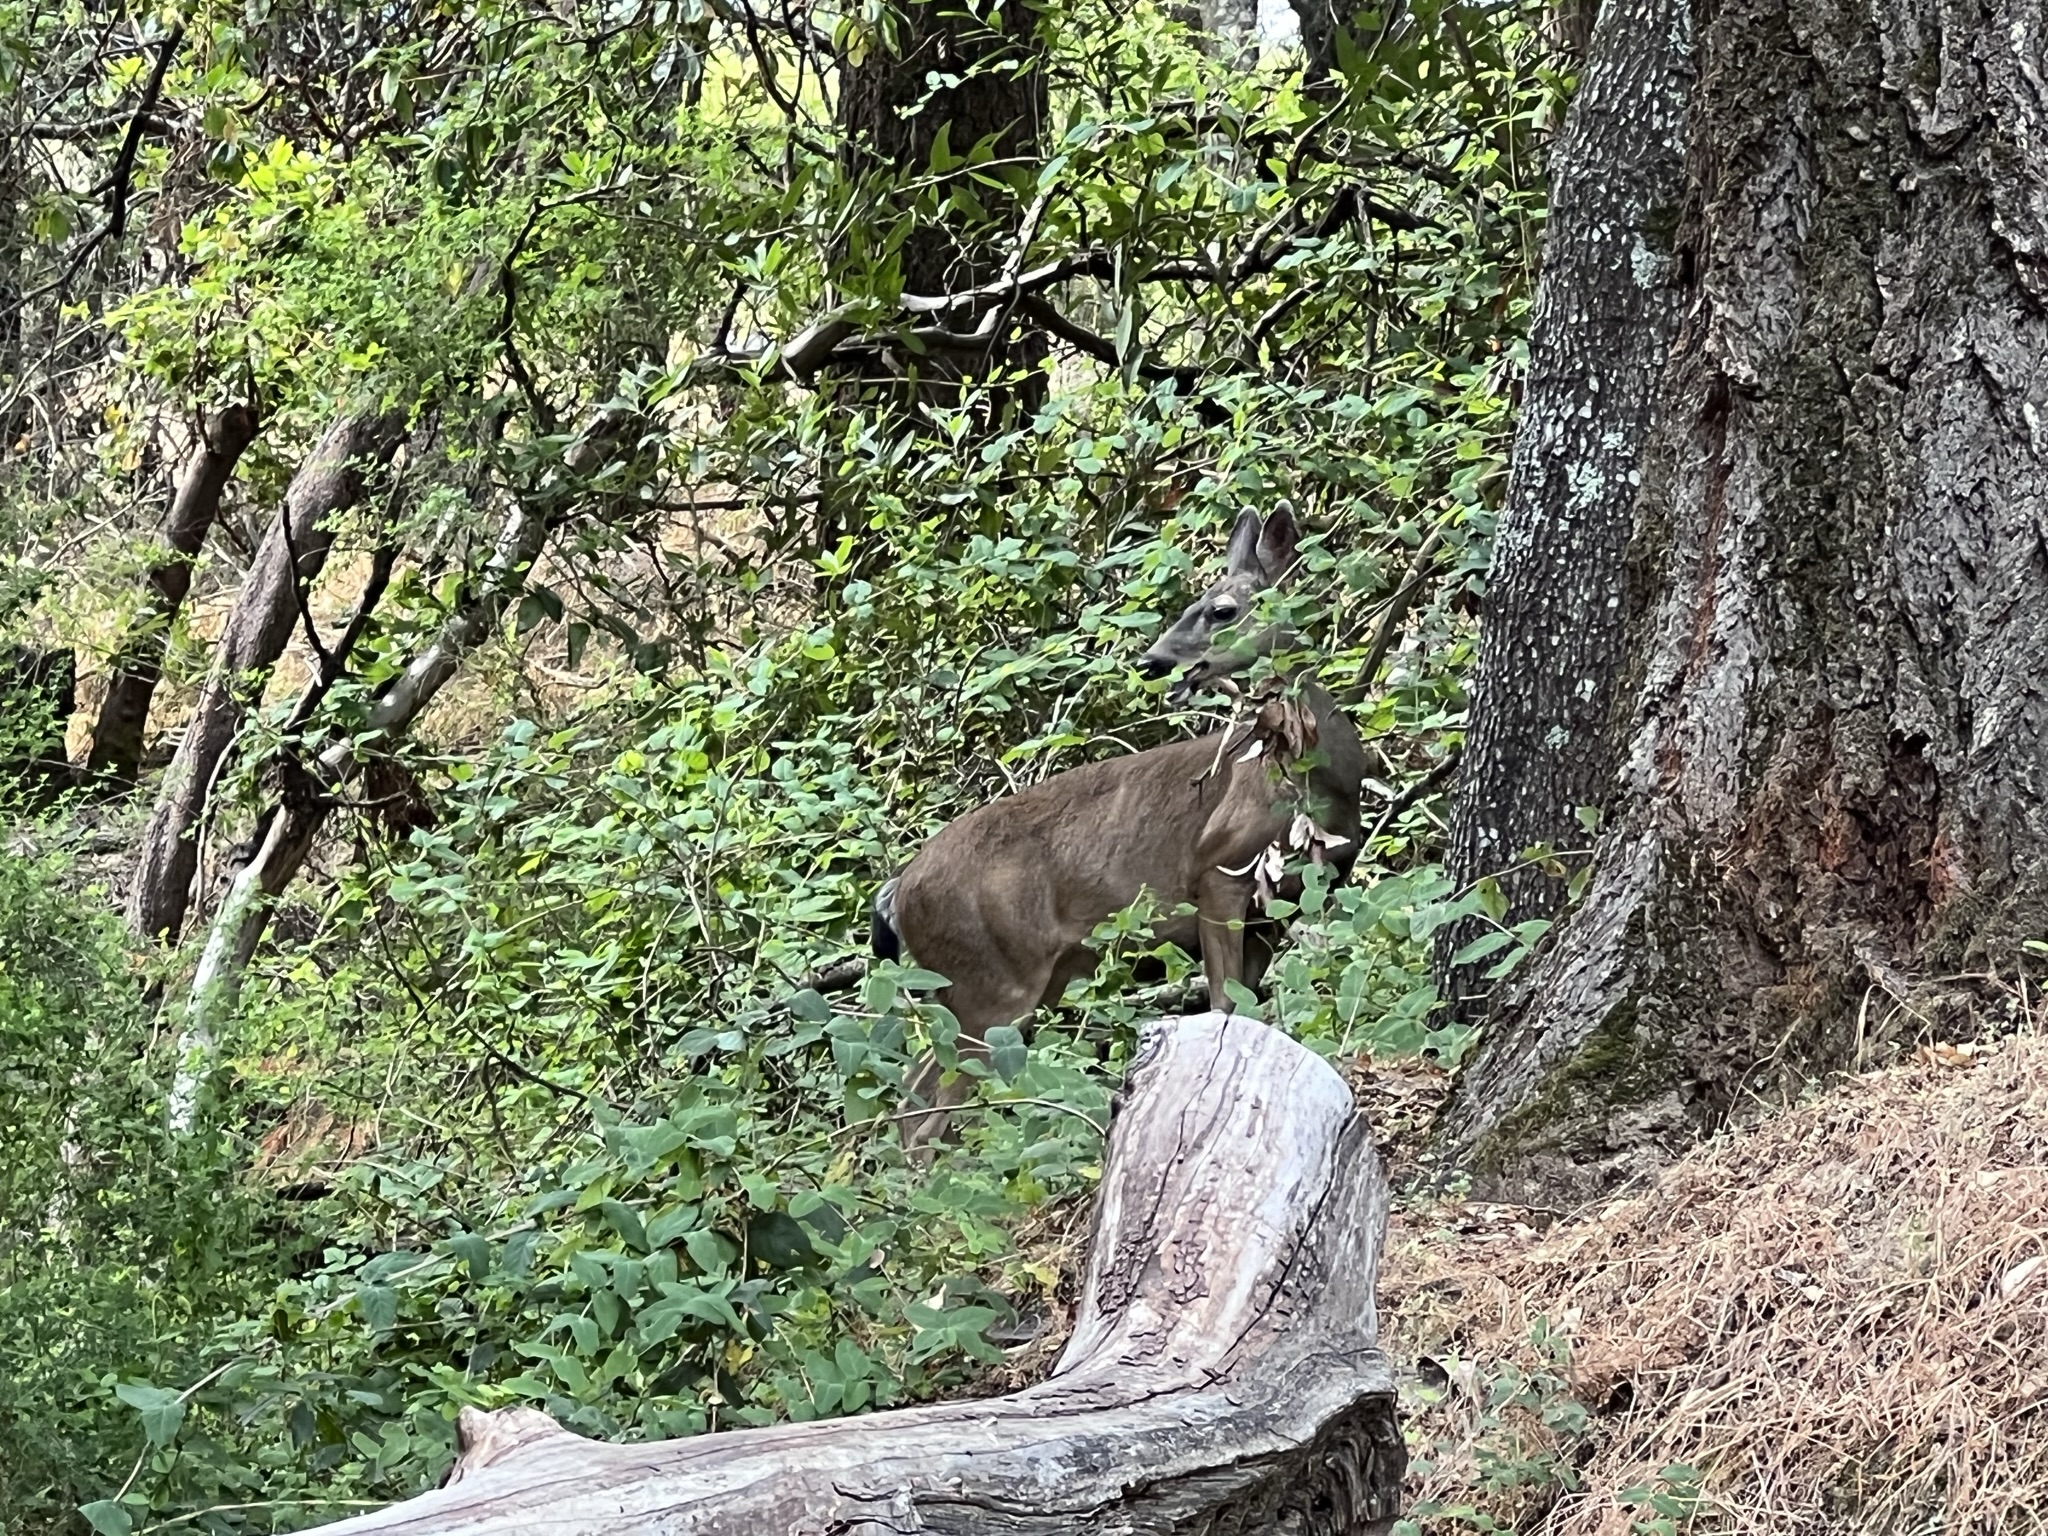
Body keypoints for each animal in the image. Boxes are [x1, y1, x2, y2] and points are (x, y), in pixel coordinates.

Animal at [870, 502, 1366, 1152]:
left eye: (1221, 609)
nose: (1153, 662)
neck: (1319, 780)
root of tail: (899, 889)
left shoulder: (1296, 896)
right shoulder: (1215, 870)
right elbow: (1225, 1005)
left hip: (1012, 981)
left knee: (915, 1089)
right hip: (991, 980)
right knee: (929, 1112)